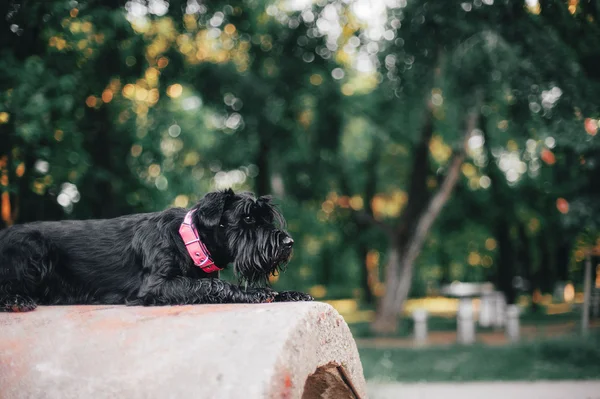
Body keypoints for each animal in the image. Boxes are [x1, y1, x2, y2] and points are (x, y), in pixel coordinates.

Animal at [1, 190, 314, 312]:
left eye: (267, 217)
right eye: (248, 218)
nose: (288, 243)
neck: (188, 240)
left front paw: (290, 294)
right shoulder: (158, 286)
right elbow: (213, 285)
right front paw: (255, 293)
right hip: (33, 248)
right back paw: (17, 300)